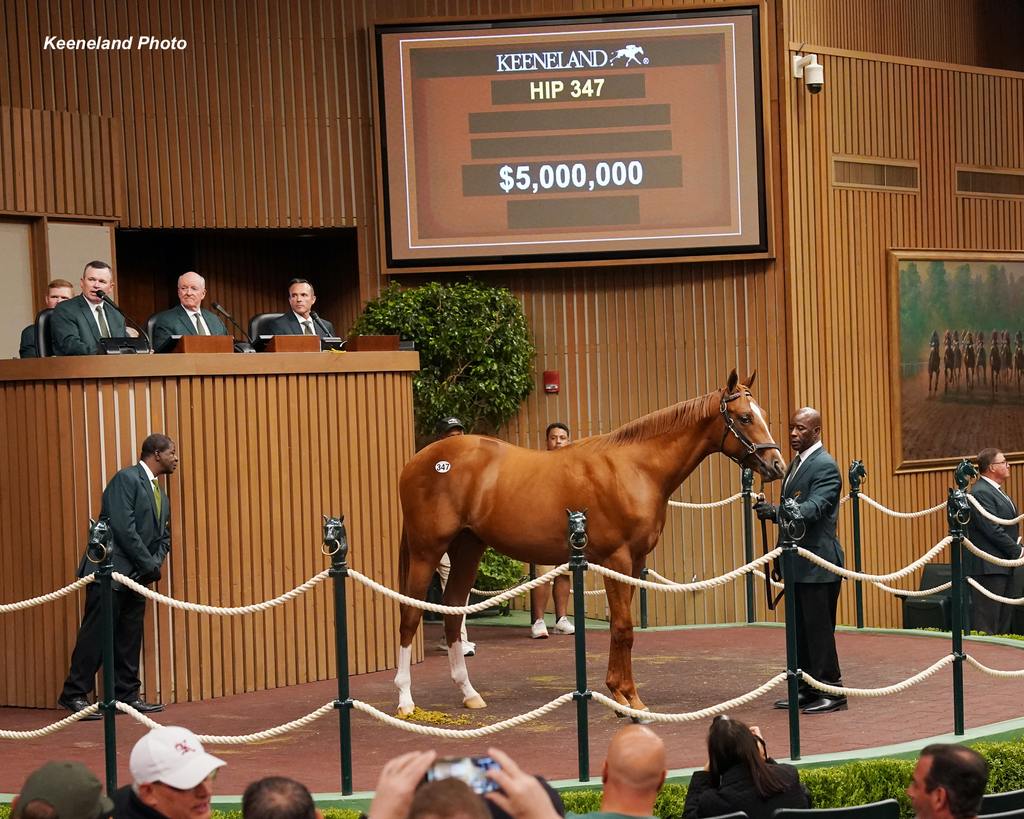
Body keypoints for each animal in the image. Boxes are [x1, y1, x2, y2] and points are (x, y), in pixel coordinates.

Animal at [391, 370, 782, 716]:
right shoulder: (616, 559)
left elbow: (618, 628)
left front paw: (622, 694)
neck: (635, 468)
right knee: (410, 615)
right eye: (745, 417)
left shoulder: (634, 562)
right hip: (427, 550)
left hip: (468, 547)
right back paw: (405, 700)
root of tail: (418, 460)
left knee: (453, 612)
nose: (776, 464)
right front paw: (628, 700)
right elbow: (624, 628)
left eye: (765, 415)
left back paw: (469, 693)